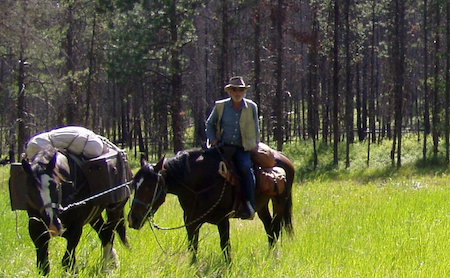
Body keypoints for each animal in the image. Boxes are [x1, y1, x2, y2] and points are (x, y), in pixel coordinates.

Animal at [8, 127, 132, 274]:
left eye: (56, 186)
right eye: (31, 189)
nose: (52, 224)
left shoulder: (75, 228)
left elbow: (68, 262)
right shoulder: (36, 229)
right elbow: (43, 265)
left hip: (115, 208)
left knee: (109, 233)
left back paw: (107, 267)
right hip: (94, 215)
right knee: (104, 232)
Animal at [128, 147, 294, 262]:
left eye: (149, 187)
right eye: (134, 185)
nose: (132, 219)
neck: (199, 185)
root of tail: (284, 158)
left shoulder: (223, 220)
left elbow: (225, 247)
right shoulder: (190, 222)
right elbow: (193, 248)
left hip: (279, 202)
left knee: (276, 228)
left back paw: (274, 257)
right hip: (261, 205)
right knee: (269, 228)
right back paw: (269, 255)